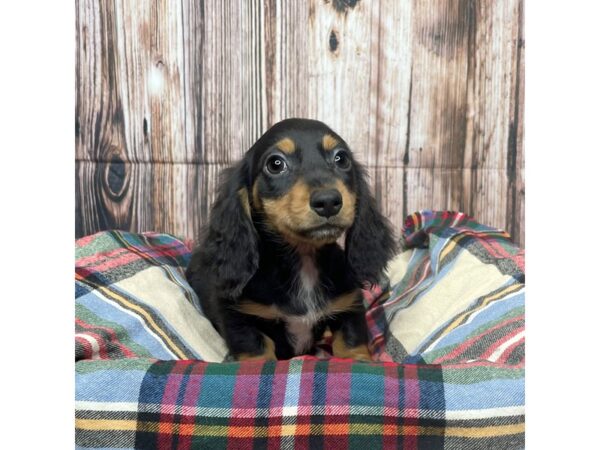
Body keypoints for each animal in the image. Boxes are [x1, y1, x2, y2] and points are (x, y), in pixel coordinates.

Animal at [185, 118, 396, 360]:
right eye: (275, 164)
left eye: (341, 158)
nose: (328, 201)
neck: (304, 260)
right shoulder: (238, 318)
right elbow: (256, 353)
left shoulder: (349, 307)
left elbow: (352, 343)